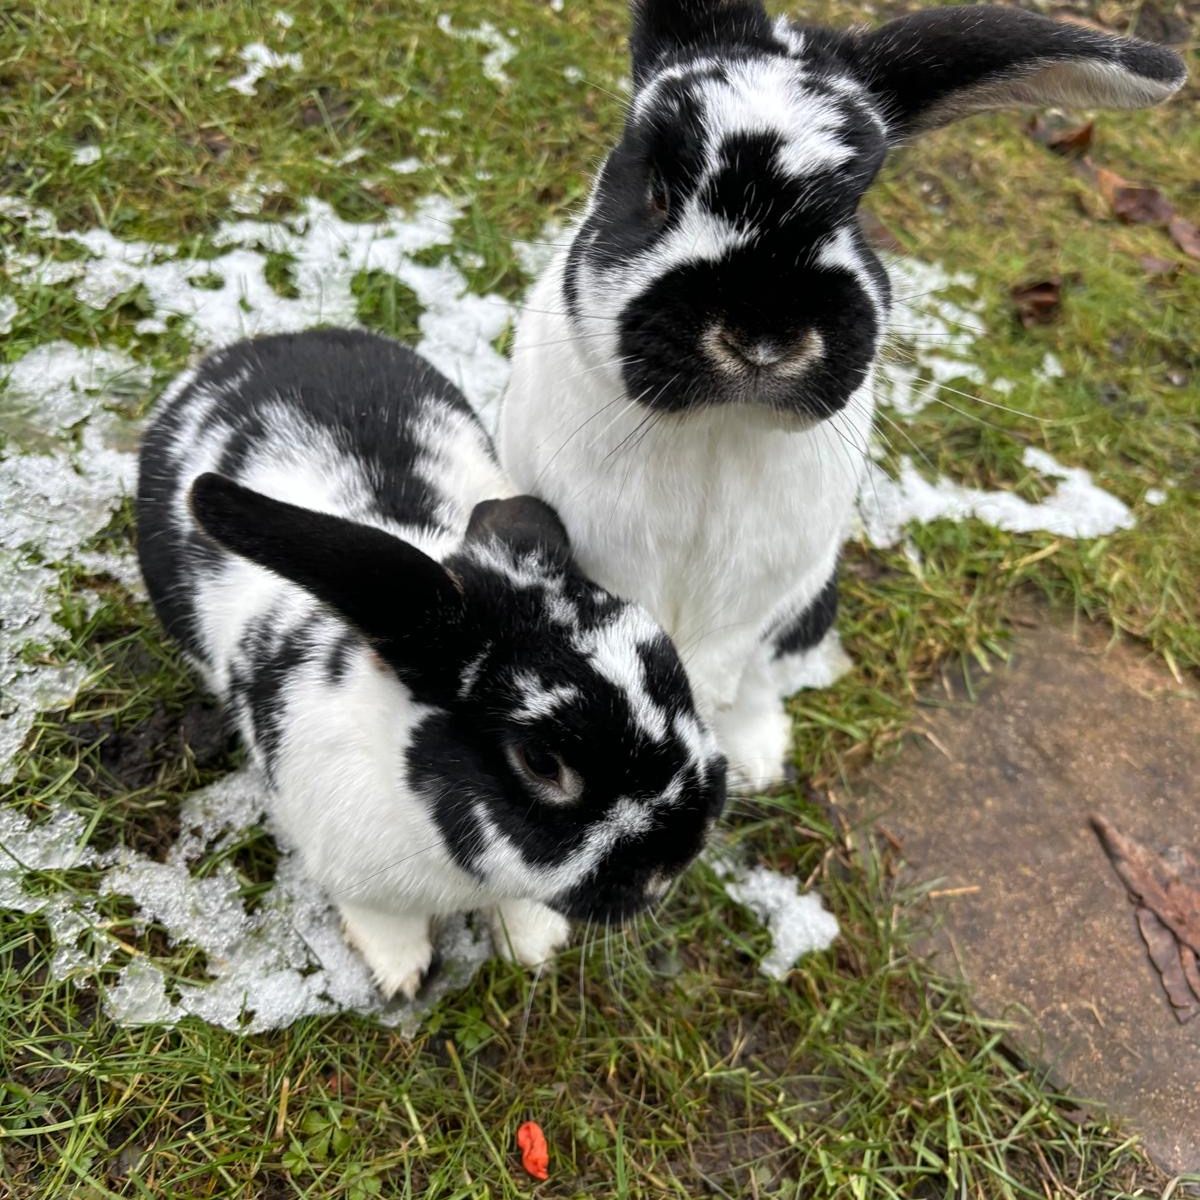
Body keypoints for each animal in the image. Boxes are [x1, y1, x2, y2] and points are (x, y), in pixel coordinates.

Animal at [136, 329, 727, 1000]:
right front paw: (400, 974)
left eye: (669, 660)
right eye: (540, 762)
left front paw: (533, 946)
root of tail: (259, 346)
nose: (680, 854)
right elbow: (380, 920)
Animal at [498, 1, 1186, 790]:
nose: (765, 337)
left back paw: (758, 758)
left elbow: (718, 672)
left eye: (856, 206)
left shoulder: (766, 594)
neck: (719, 427)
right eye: (659, 189)